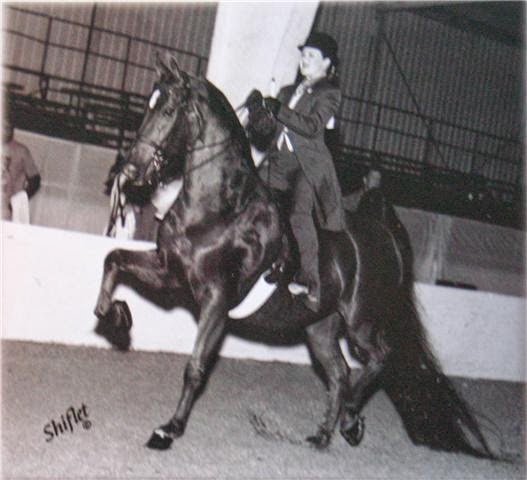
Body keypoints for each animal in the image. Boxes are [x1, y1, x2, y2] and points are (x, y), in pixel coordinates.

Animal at [93, 52, 494, 458]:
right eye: (149, 104)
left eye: (168, 109)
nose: (131, 169)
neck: (218, 208)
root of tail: (381, 230)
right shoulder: (168, 271)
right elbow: (113, 259)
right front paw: (118, 318)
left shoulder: (217, 299)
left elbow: (196, 367)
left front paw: (168, 430)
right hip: (320, 325)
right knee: (340, 373)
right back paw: (325, 434)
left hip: (360, 320)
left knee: (378, 358)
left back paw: (351, 420)